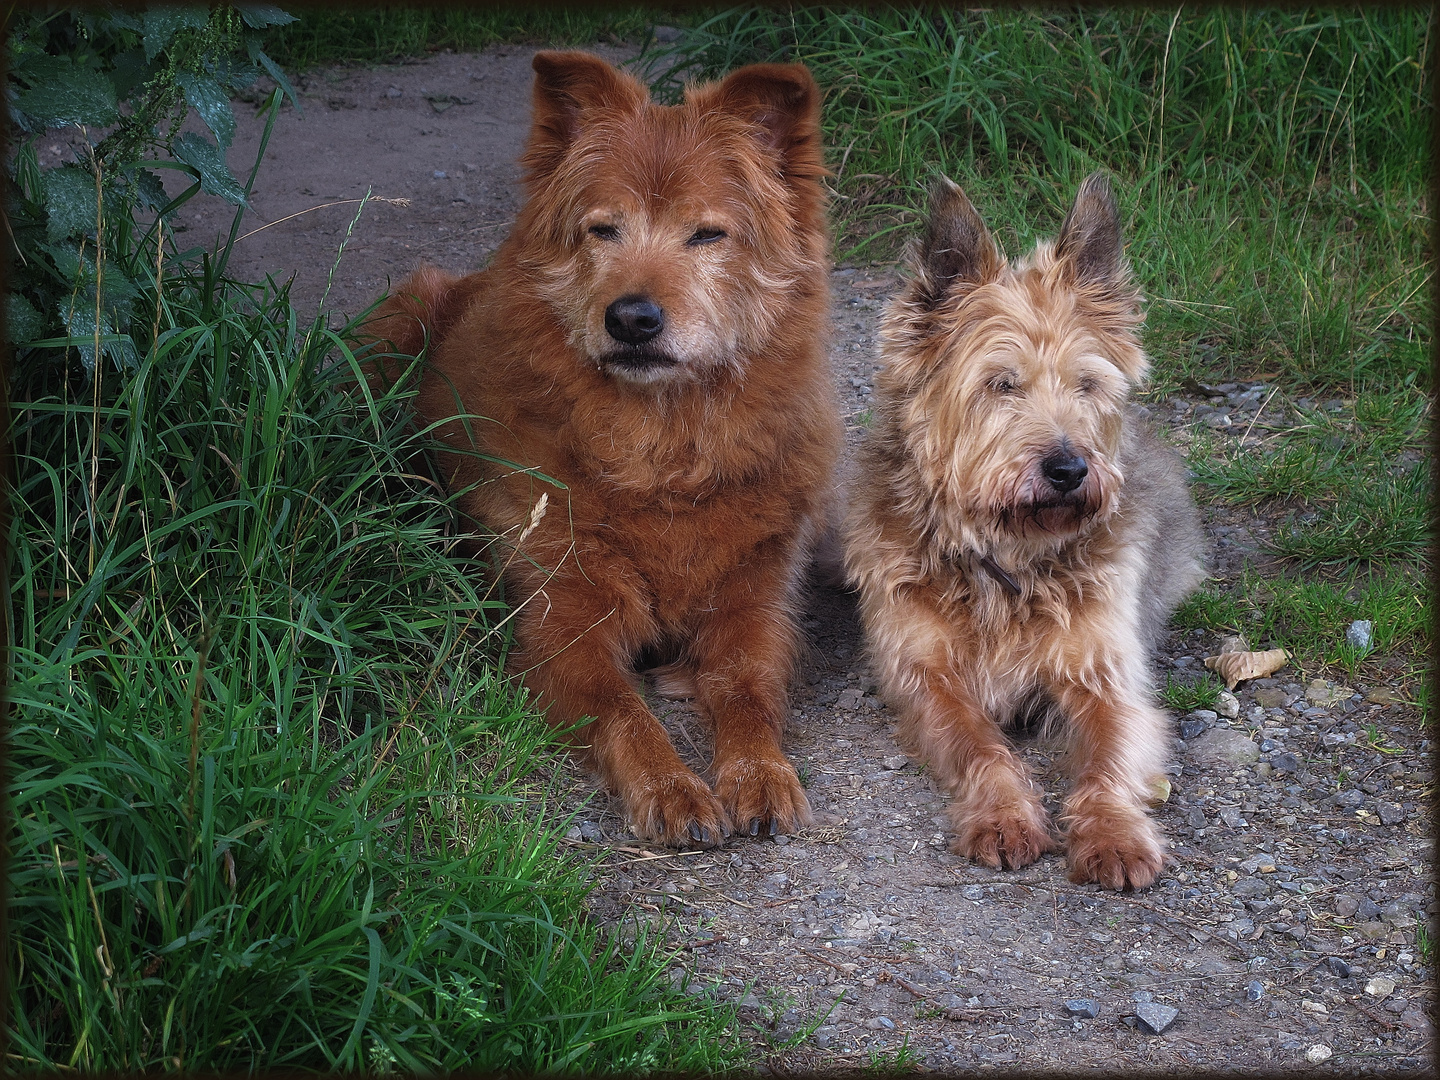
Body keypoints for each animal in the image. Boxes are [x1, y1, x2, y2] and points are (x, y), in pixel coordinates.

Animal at [362, 52, 840, 846]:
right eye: (603, 230)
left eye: (707, 235)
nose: (633, 318)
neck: (662, 463)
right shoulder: (562, 630)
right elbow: (626, 715)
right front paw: (672, 788)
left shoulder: (756, 607)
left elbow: (746, 693)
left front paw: (759, 773)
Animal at [840, 175, 1203, 887]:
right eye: (1001, 384)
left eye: (1087, 383)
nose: (1069, 469)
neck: (1007, 560)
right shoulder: (926, 675)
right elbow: (980, 747)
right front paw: (1004, 815)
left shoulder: (1104, 675)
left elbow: (1111, 753)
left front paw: (1114, 831)